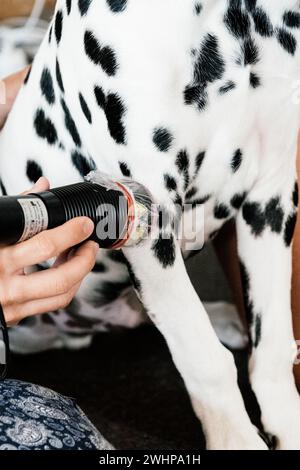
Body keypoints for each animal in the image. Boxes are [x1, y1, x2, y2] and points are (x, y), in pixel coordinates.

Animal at [0, 0, 300, 450]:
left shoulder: (272, 196)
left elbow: (274, 347)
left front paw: (288, 426)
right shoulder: (147, 217)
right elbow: (205, 361)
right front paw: (236, 440)